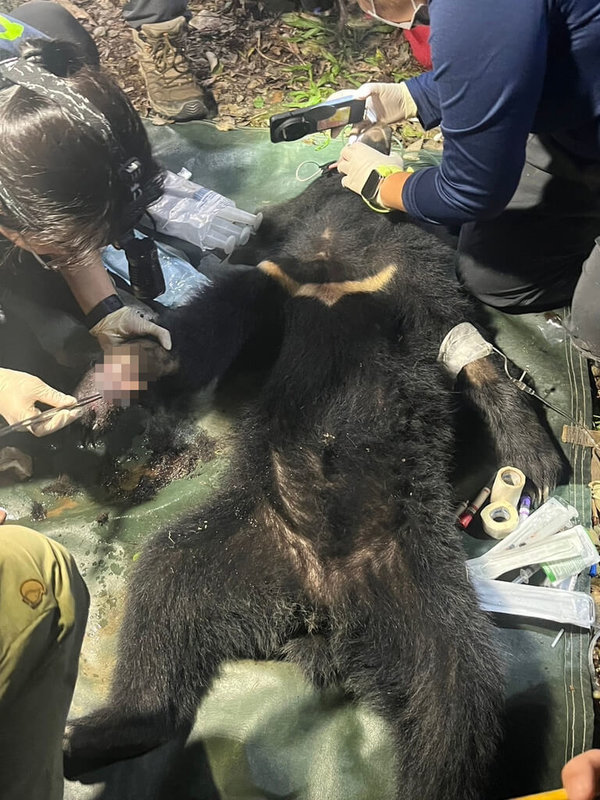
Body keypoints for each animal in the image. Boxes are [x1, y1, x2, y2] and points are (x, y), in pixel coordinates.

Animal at [63, 172, 564, 796]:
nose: (329, 172)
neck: (336, 258)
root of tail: (318, 602)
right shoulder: (274, 281)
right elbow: (197, 337)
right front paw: (103, 389)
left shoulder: (408, 276)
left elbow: (461, 340)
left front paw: (537, 458)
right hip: (234, 540)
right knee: (159, 598)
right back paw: (104, 729)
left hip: (421, 580)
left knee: (455, 697)